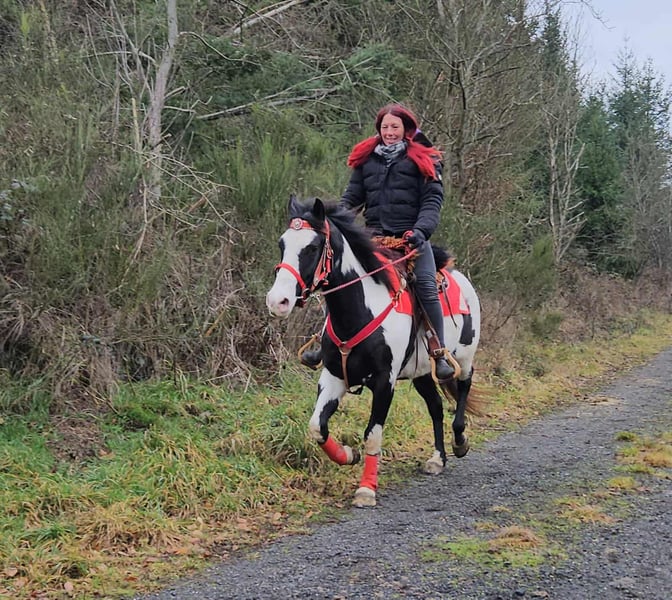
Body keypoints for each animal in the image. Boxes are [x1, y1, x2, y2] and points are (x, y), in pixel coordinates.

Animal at [265, 196, 481, 507]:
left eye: (312, 247)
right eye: (282, 244)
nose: (277, 301)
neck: (361, 309)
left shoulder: (383, 382)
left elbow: (372, 435)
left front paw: (366, 489)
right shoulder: (334, 377)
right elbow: (317, 426)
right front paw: (347, 454)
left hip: (463, 358)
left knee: (463, 387)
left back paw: (460, 440)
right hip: (420, 373)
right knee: (436, 407)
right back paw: (437, 459)